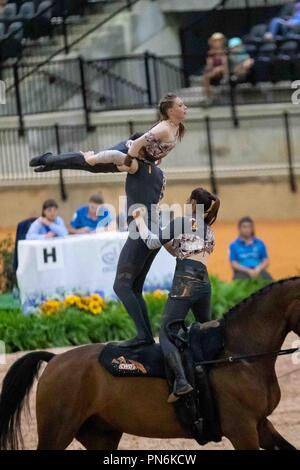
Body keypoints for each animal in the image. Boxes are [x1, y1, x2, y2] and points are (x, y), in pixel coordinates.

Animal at [0, 278, 298, 450]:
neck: (236, 354)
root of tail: (55, 359)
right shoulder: (243, 430)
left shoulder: (260, 425)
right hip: (57, 432)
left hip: (100, 436)